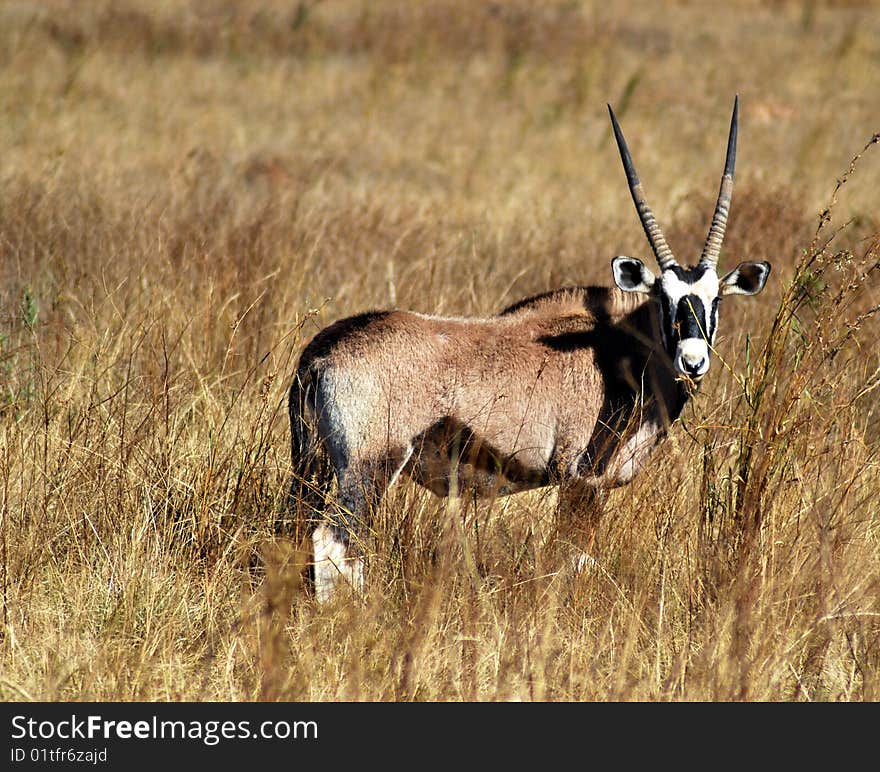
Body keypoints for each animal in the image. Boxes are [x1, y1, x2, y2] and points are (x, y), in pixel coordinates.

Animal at [288, 98, 768, 604]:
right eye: (664, 298)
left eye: (715, 300)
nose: (692, 361)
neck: (617, 347)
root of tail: (320, 354)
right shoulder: (582, 480)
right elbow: (574, 563)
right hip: (369, 467)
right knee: (334, 544)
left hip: (314, 468)